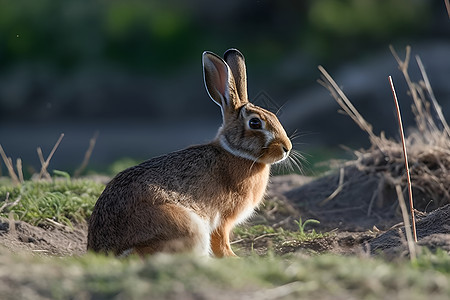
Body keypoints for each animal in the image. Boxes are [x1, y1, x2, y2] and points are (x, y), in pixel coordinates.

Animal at [87, 49, 292, 258]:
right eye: (255, 123)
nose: (287, 148)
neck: (236, 153)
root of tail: (111, 252)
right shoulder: (222, 218)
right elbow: (221, 241)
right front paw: (233, 258)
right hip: (188, 225)